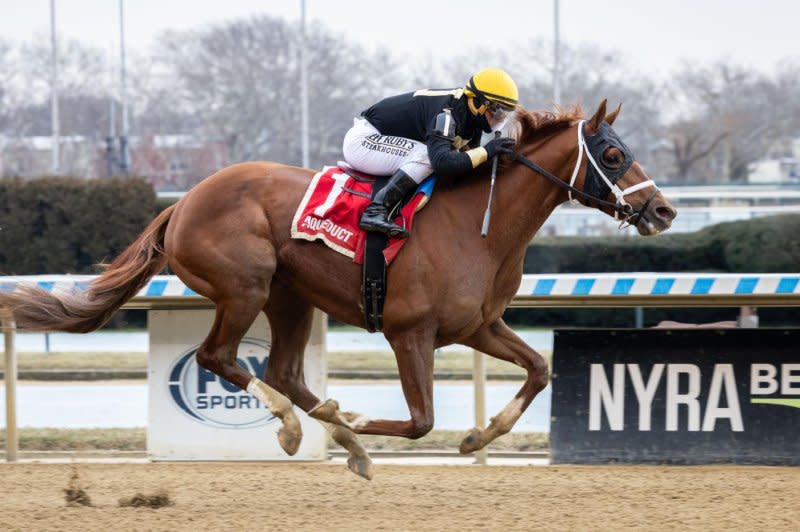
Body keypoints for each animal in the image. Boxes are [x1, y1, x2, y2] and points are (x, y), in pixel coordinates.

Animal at [0, 100, 676, 478]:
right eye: (612, 155)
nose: (664, 211)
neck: (479, 225)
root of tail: (184, 201)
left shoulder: (479, 325)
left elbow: (538, 369)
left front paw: (478, 435)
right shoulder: (410, 332)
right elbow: (421, 421)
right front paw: (357, 417)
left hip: (290, 297)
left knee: (283, 370)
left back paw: (337, 432)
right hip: (245, 287)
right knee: (220, 357)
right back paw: (301, 427)